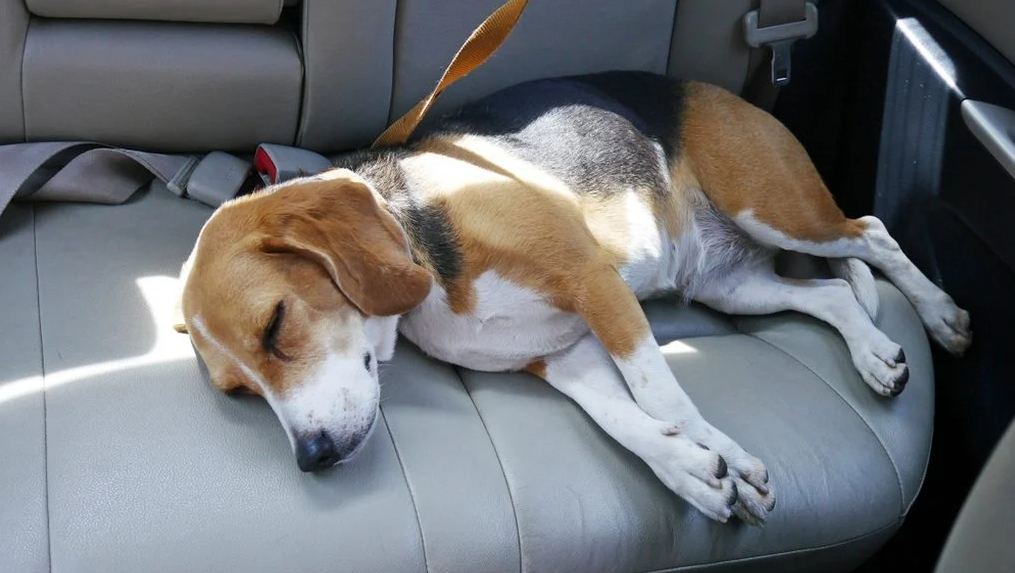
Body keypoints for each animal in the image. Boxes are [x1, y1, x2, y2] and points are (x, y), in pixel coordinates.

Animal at [172, 69, 966, 523]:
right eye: (240, 392)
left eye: (276, 325)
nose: (311, 457)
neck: (419, 238)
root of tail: (719, 90)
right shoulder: (559, 355)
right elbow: (624, 419)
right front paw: (692, 472)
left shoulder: (595, 284)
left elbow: (663, 397)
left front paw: (726, 458)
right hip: (731, 285)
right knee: (833, 295)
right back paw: (873, 354)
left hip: (774, 206)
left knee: (872, 236)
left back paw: (938, 314)